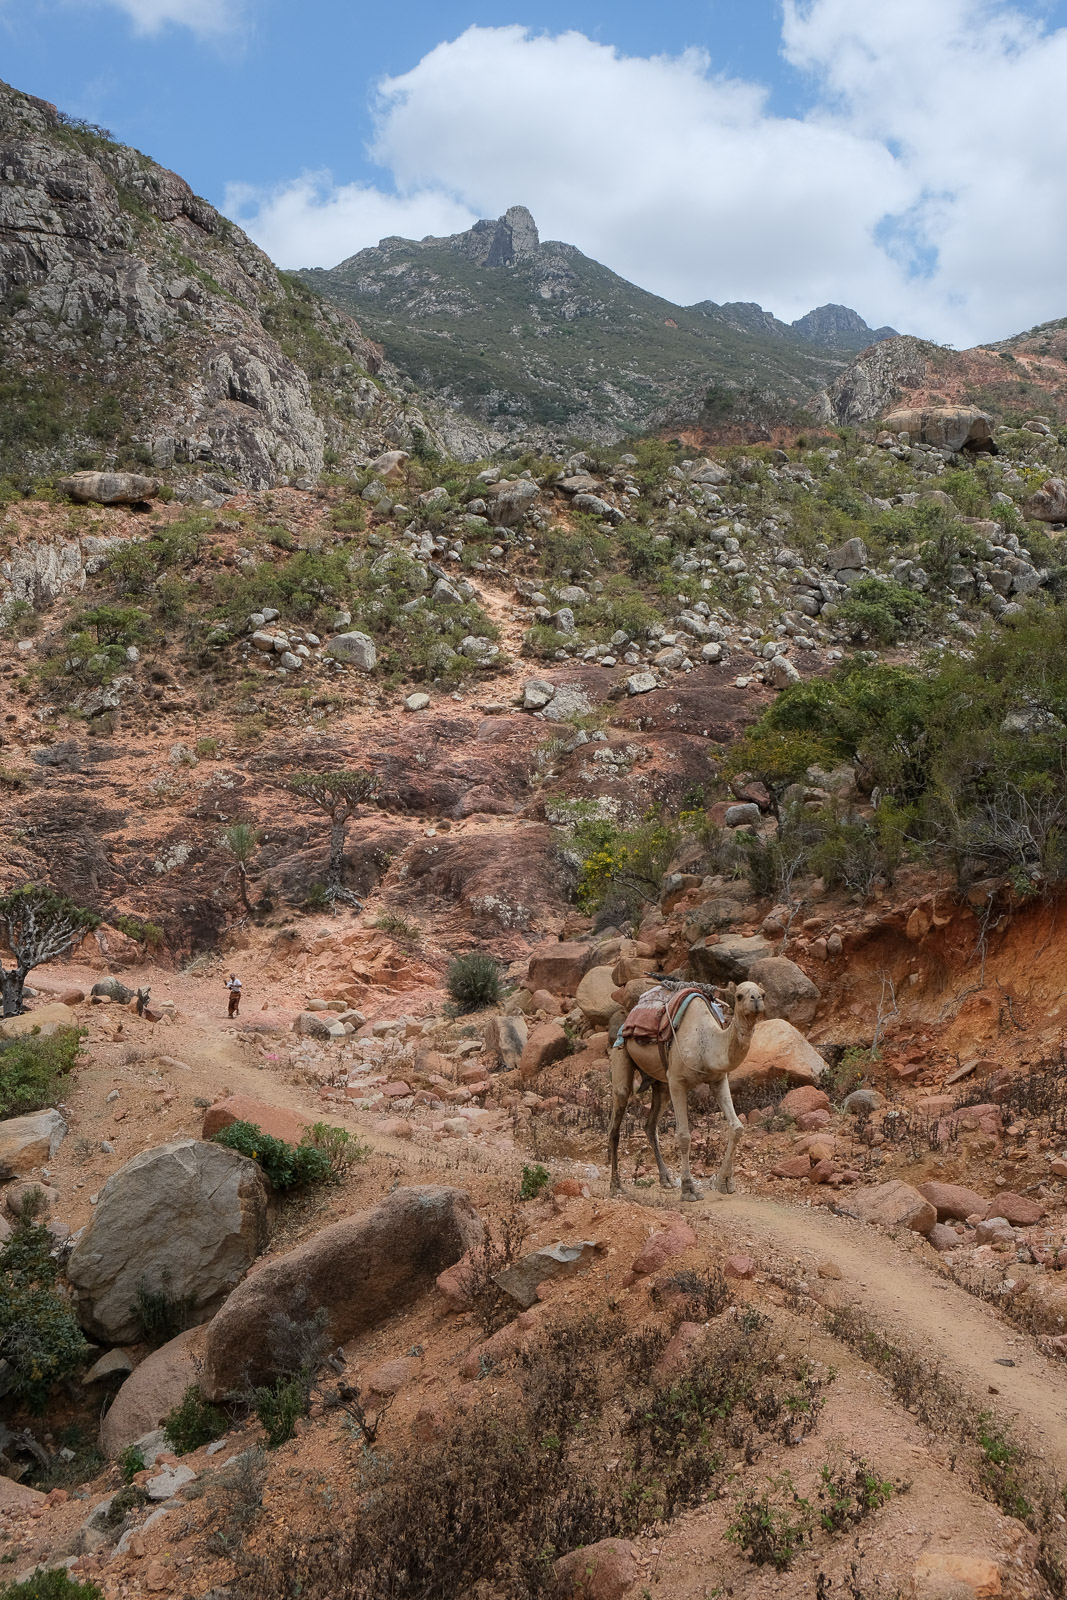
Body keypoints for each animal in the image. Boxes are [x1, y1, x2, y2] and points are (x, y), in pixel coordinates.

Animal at [607, 980, 766, 1200]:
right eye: (739, 996)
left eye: (763, 994)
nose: (756, 1000)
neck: (706, 1043)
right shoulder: (677, 1081)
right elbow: (684, 1136)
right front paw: (689, 1189)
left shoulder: (718, 1079)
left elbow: (737, 1127)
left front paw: (725, 1182)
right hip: (621, 1052)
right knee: (616, 1118)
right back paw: (616, 1186)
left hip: (662, 1085)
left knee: (650, 1125)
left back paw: (666, 1179)